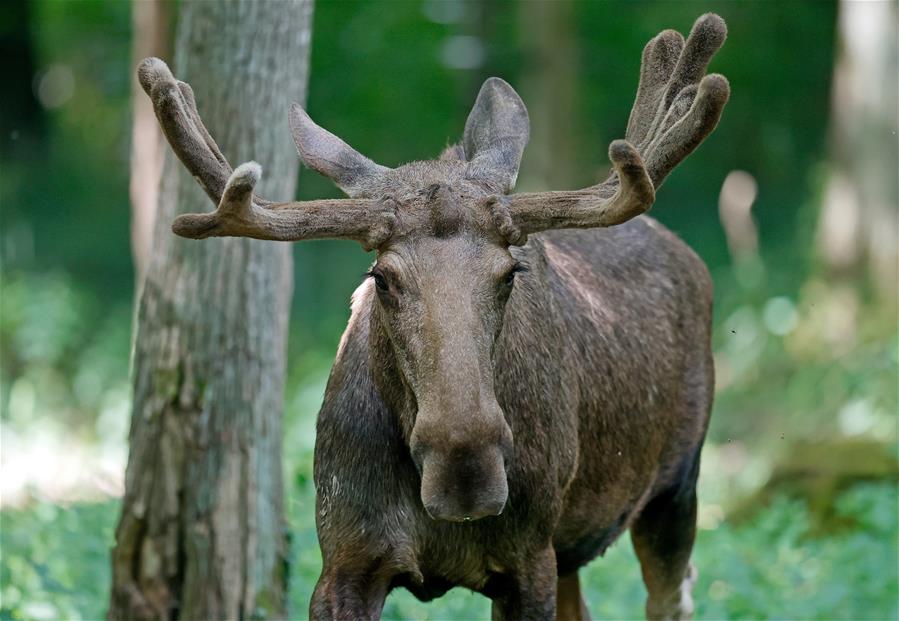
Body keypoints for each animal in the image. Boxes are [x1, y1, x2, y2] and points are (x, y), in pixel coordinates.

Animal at [141, 10, 732, 620]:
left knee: (672, 595)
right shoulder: (343, 558)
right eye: (382, 277)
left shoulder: (529, 559)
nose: (465, 468)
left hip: (675, 487)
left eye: (510, 272)